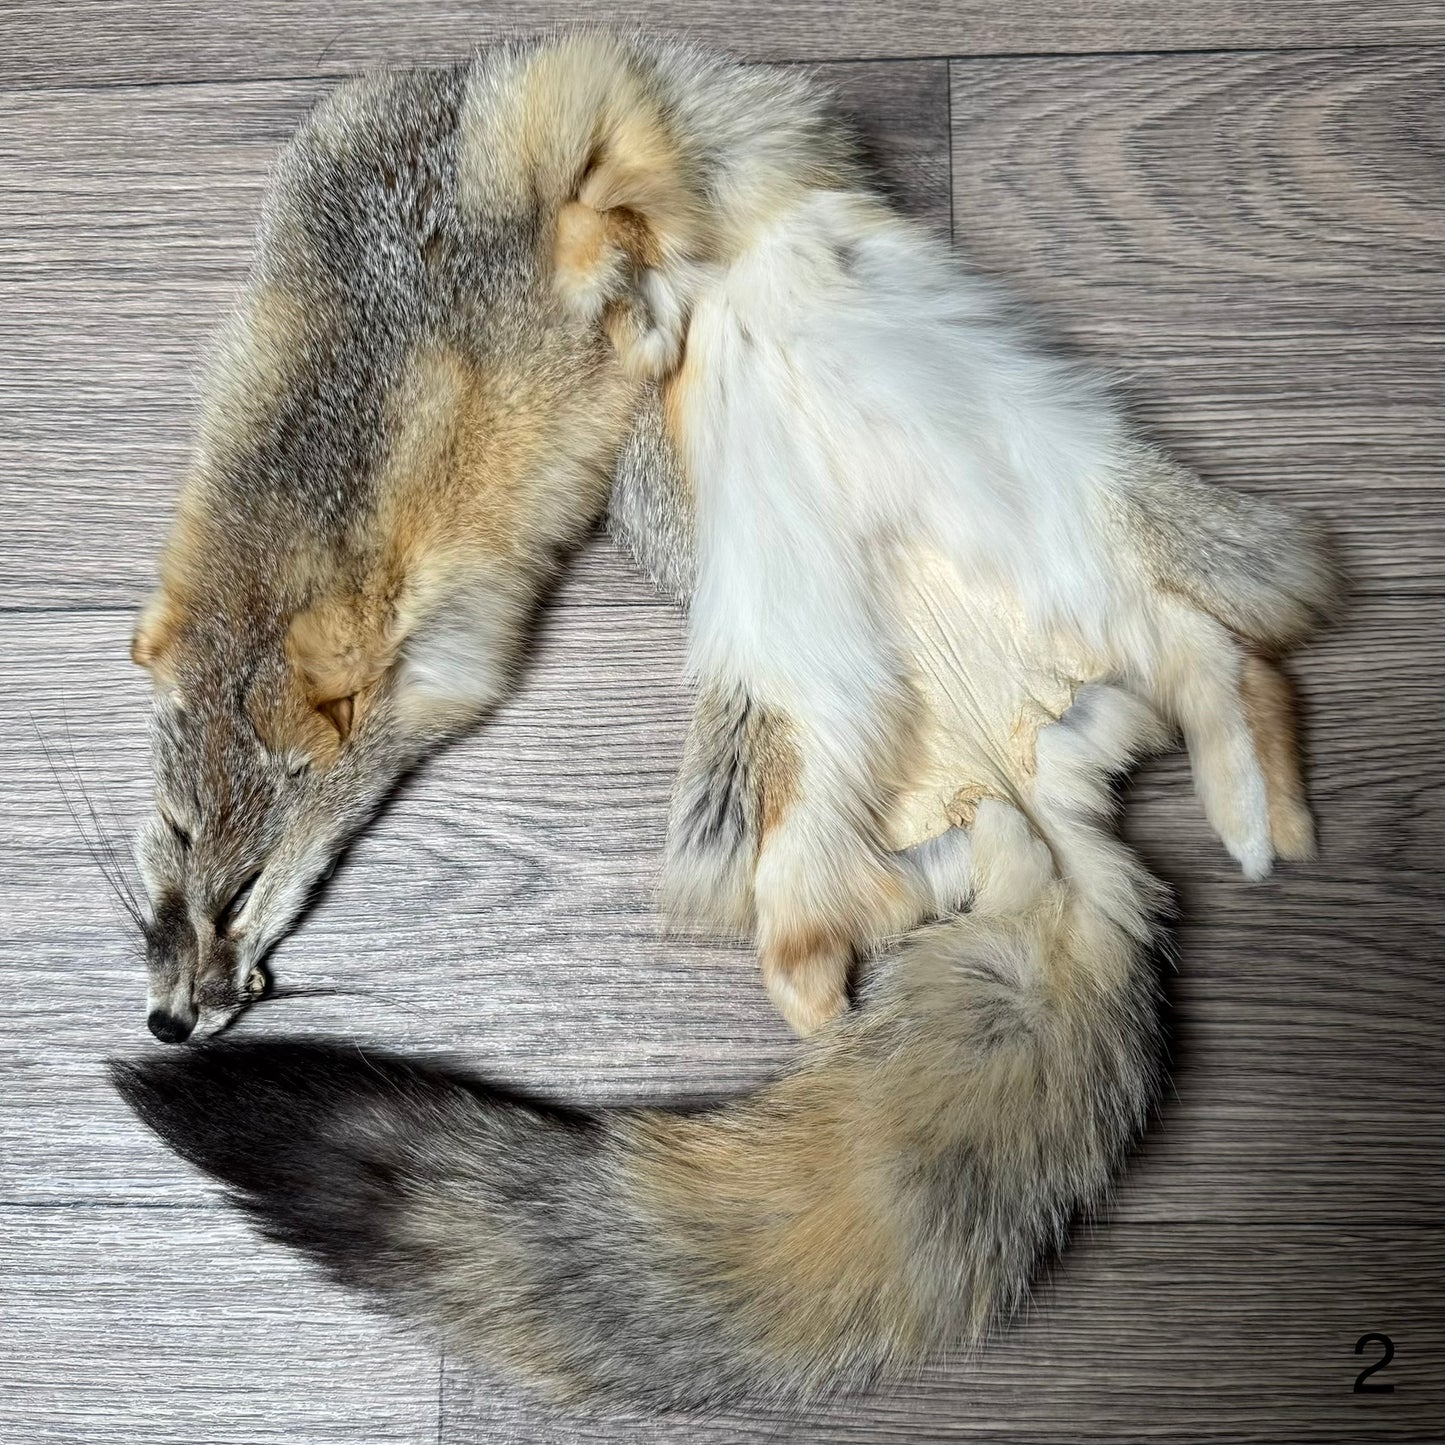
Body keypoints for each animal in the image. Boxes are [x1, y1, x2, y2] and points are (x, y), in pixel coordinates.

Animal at [116, 34, 1335, 1406]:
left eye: (243, 884)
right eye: (170, 855)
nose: (168, 1017)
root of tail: (1012, 772)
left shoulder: (596, 102)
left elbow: (617, 191)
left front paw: (639, 282)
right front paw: (643, 294)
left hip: (1102, 550)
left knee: (1233, 662)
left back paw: (1255, 813)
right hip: (806, 770)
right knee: (841, 932)